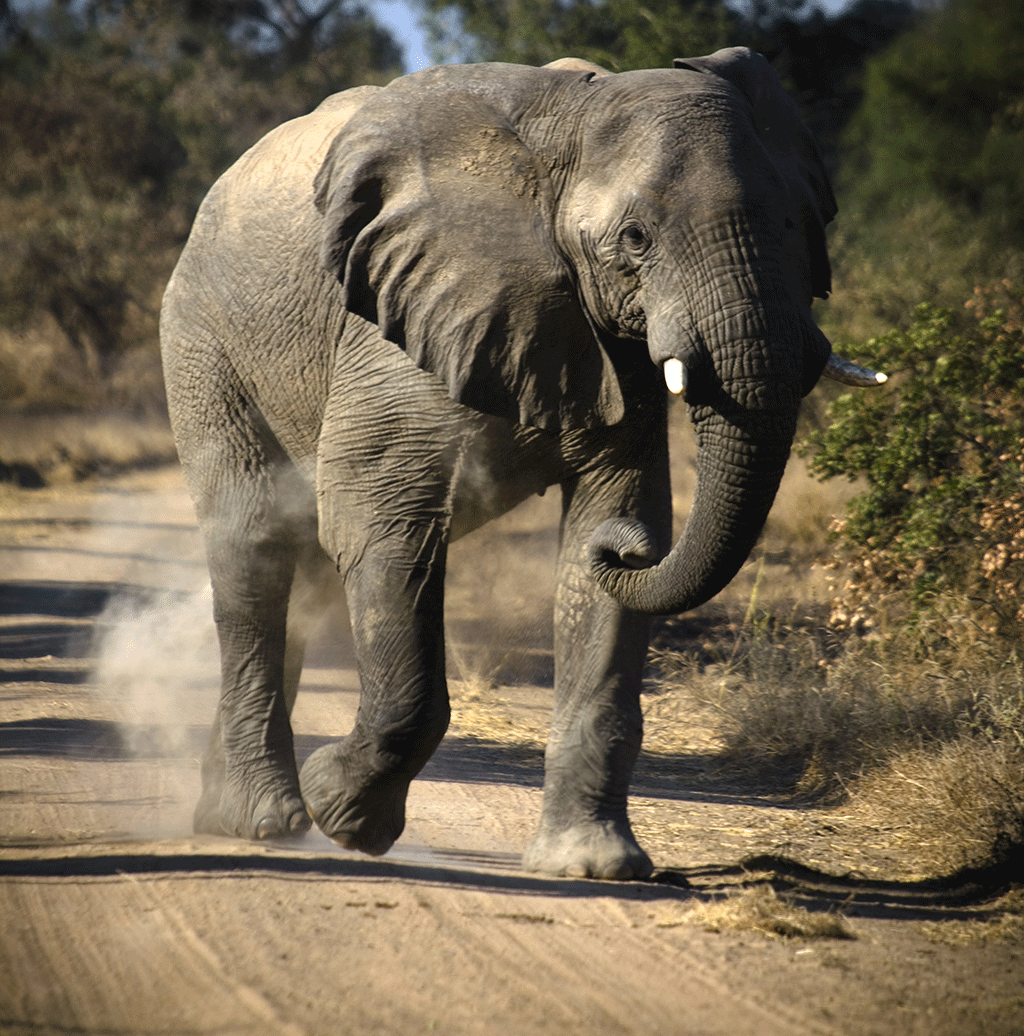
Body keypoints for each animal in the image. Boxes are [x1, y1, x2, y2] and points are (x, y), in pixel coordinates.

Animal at [160, 47, 884, 880]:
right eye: (635, 238)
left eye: (802, 226)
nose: (627, 554)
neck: (565, 132)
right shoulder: (395, 323)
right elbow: (381, 526)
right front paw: (343, 816)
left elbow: (607, 532)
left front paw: (593, 867)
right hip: (203, 342)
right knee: (256, 545)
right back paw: (264, 820)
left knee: (301, 572)